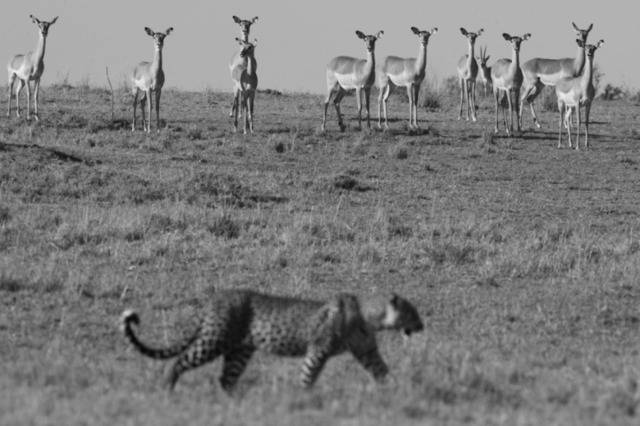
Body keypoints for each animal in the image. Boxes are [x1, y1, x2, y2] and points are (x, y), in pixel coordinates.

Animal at [121, 290, 424, 392]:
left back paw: (236, 402)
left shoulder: (367, 351)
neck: (370, 316)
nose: (422, 325)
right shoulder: (318, 349)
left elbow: (382, 370)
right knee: (178, 362)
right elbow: (308, 374)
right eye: (413, 312)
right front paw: (304, 398)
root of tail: (214, 297)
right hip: (214, 339)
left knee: (226, 378)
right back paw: (167, 389)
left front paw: (397, 391)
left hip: (240, 349)